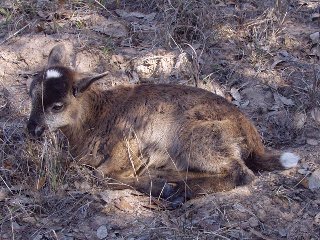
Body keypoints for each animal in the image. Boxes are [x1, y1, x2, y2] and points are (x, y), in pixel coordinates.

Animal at [27, 44, 300, 206]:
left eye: (57, 106)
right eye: (31, 93)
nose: (32, 129)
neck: (96, 117)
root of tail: (253, 138)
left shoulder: (128, 147)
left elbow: (104, 176)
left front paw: (161, 188)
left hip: (196, 137)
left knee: (242, 173)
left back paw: (177, 191)